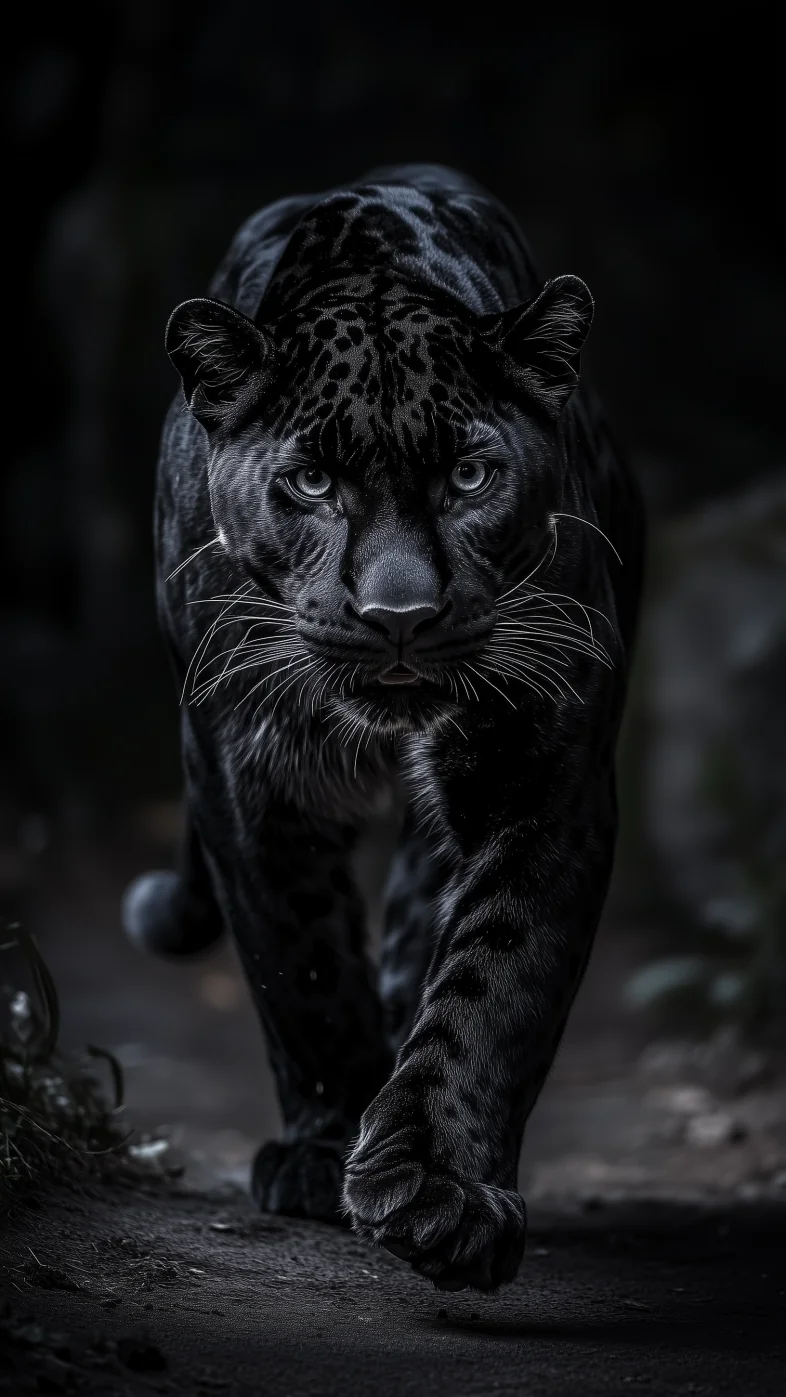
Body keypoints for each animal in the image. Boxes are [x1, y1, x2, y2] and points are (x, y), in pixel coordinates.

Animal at [122, 163, 645, 1292]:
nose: (398, 613)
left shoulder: (550, 763)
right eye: (312, 482)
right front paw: (325, 1150)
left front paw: (441, 1192)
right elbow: (300, 956)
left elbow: (497, 973)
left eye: (469, 477)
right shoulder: (238, 762)